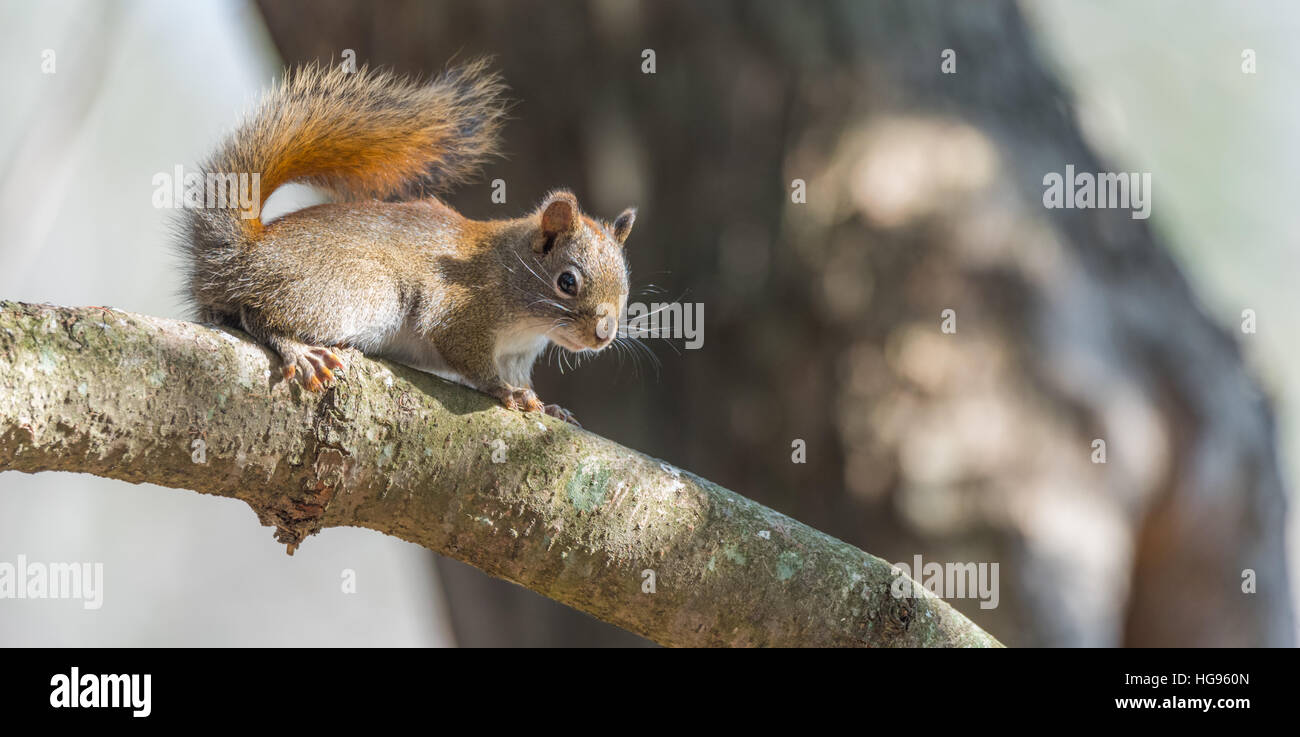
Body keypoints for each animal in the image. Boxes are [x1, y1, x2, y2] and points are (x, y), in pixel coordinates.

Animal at [178, 62, 634, 426]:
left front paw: (550, 407)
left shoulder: (518, 356)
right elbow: (471, 360)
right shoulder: (462, 314)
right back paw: (297, 348)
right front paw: (506, 392)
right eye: (567, 282)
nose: (604, 336)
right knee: (255, 313)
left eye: (626, 289)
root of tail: (241, 257)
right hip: (356, 287)